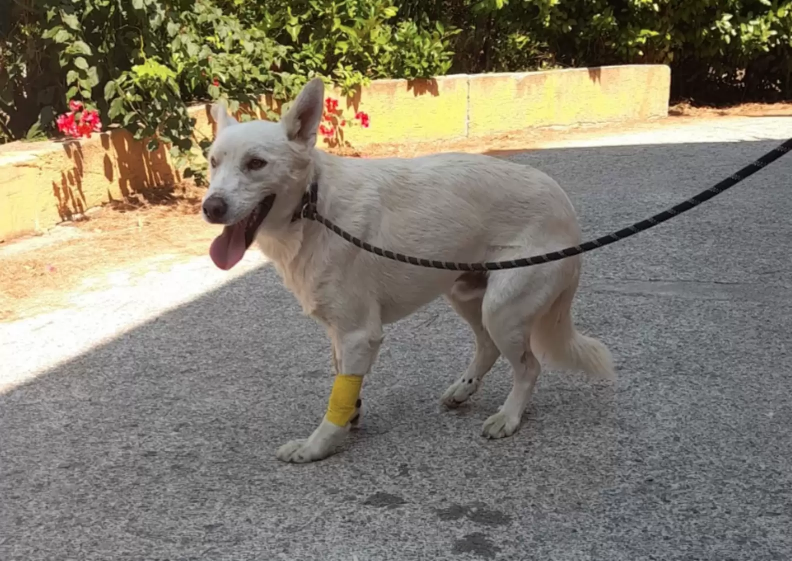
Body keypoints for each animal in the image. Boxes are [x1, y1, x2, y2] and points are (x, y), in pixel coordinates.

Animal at [202, 77, 614, 463]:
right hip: (466, 295)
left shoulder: (358, 333)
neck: (313, 206)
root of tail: (566, 208)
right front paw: (350, 417)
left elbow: (336, 399)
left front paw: (319, 445)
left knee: (528, 367)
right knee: (487, 346)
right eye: (213, 162)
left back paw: (508, 417)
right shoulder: (340, 332)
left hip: (502, 309)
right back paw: (464, 389)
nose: (211, 208)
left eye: (256, 163)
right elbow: (344, 382)